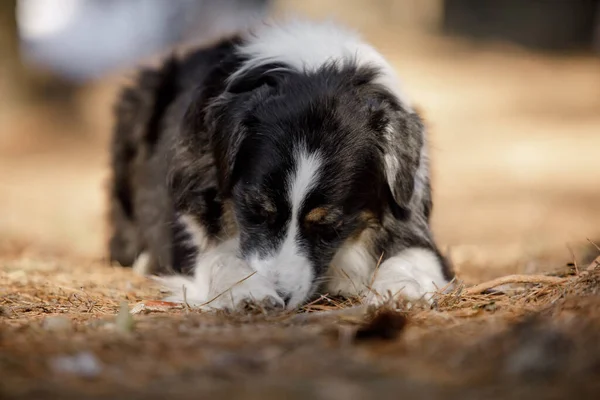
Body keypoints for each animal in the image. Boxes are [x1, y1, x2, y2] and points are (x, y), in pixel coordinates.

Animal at [109, 18, 454, 312]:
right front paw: (249, 290)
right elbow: (218, 258)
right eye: (255, 210)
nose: (282, 295)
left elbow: (412, 257)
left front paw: (401, 290)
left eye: (330, 226)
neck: (315, 74)